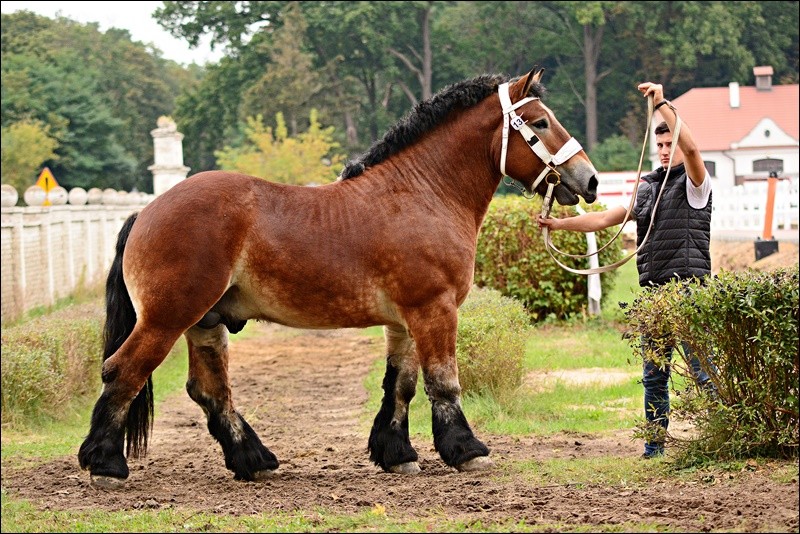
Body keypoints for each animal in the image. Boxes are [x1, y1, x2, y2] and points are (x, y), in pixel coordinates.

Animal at [78, 67, 596, 490]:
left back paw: (254, 460)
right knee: (123, 371)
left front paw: (397, 455)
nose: (589, 180)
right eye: (541, 122)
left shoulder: (405, 320)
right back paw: (105, 464)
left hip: (205, 323)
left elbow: (402, 384)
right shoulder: (435, 308)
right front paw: (466, 451)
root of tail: (147, 211)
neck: (422, 193)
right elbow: (443, 382)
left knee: (210, 391)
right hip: (167, 319)